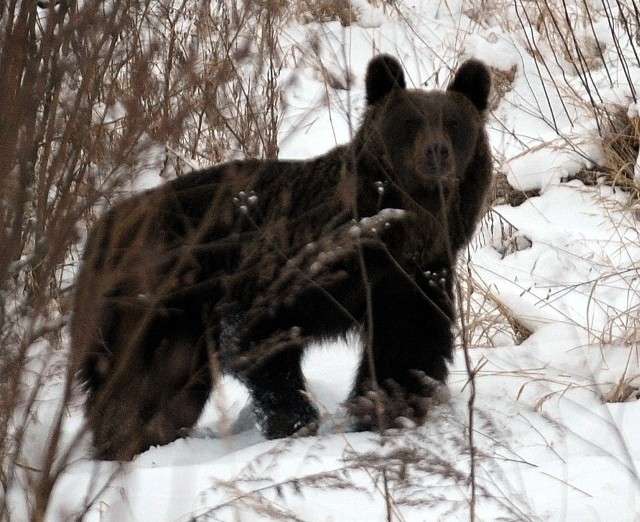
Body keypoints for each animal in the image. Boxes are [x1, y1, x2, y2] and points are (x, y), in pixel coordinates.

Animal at [71, 53, 490, 460]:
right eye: (409, 122)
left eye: (454, 123)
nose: (437, 153)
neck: (394, 235)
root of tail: (101, 226)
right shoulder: (296, 261)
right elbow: (259, 334)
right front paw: (296, 420)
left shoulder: (412, 279)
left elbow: (406, 350)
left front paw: (386, 411)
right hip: (156, 293)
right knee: (139, 377)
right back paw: (125, 440)